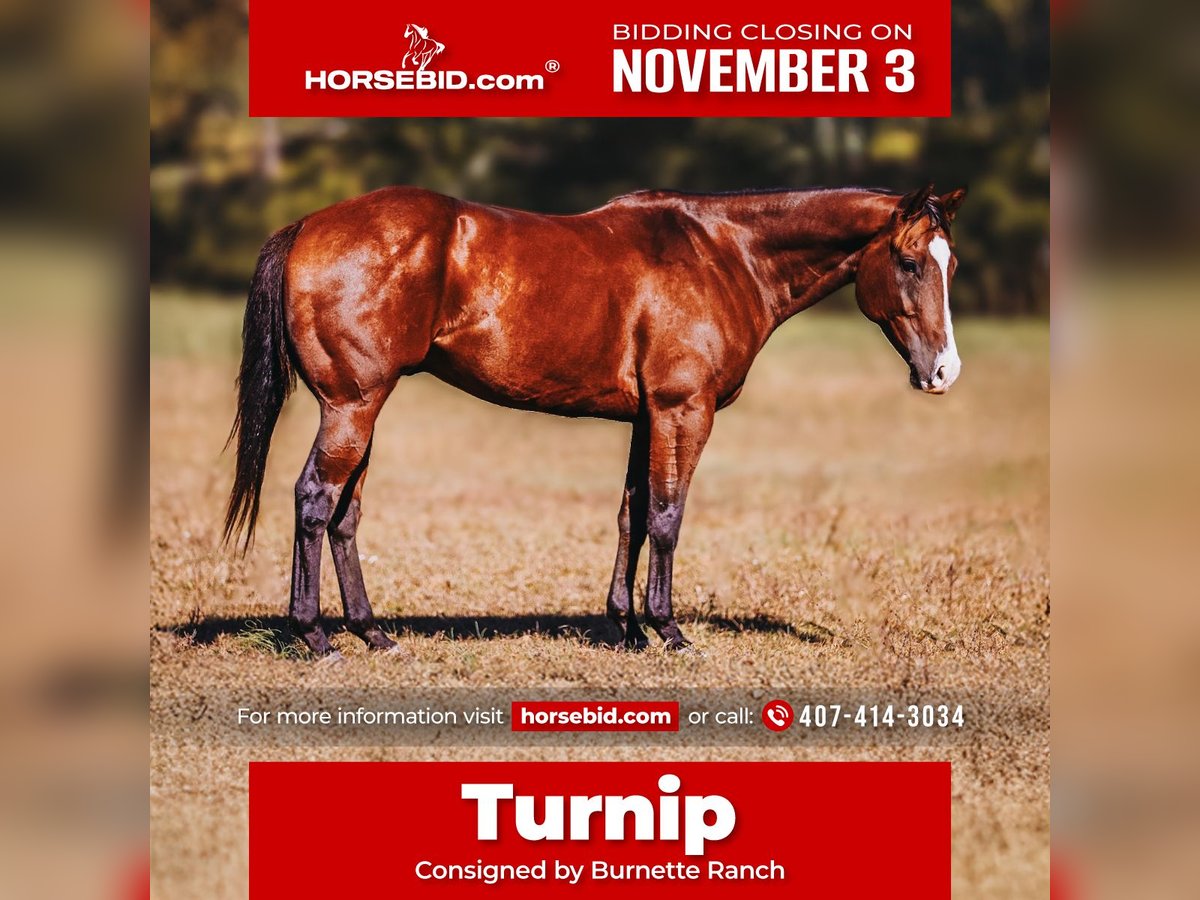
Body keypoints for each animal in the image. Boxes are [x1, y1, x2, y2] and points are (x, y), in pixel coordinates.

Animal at [224, 183, 967, 657]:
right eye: (908, 261)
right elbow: (666, 517)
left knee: (344, 515)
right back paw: (315, 636)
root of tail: (308, 226)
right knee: (314, 501)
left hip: (364, 407)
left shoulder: (647, 418)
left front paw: (627, 629)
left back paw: (374, 634)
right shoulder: (682, 411)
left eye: (949, 262)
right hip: (352, 405)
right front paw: (668, 631)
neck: (726, 253)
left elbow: (632, 514)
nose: (943, 372)